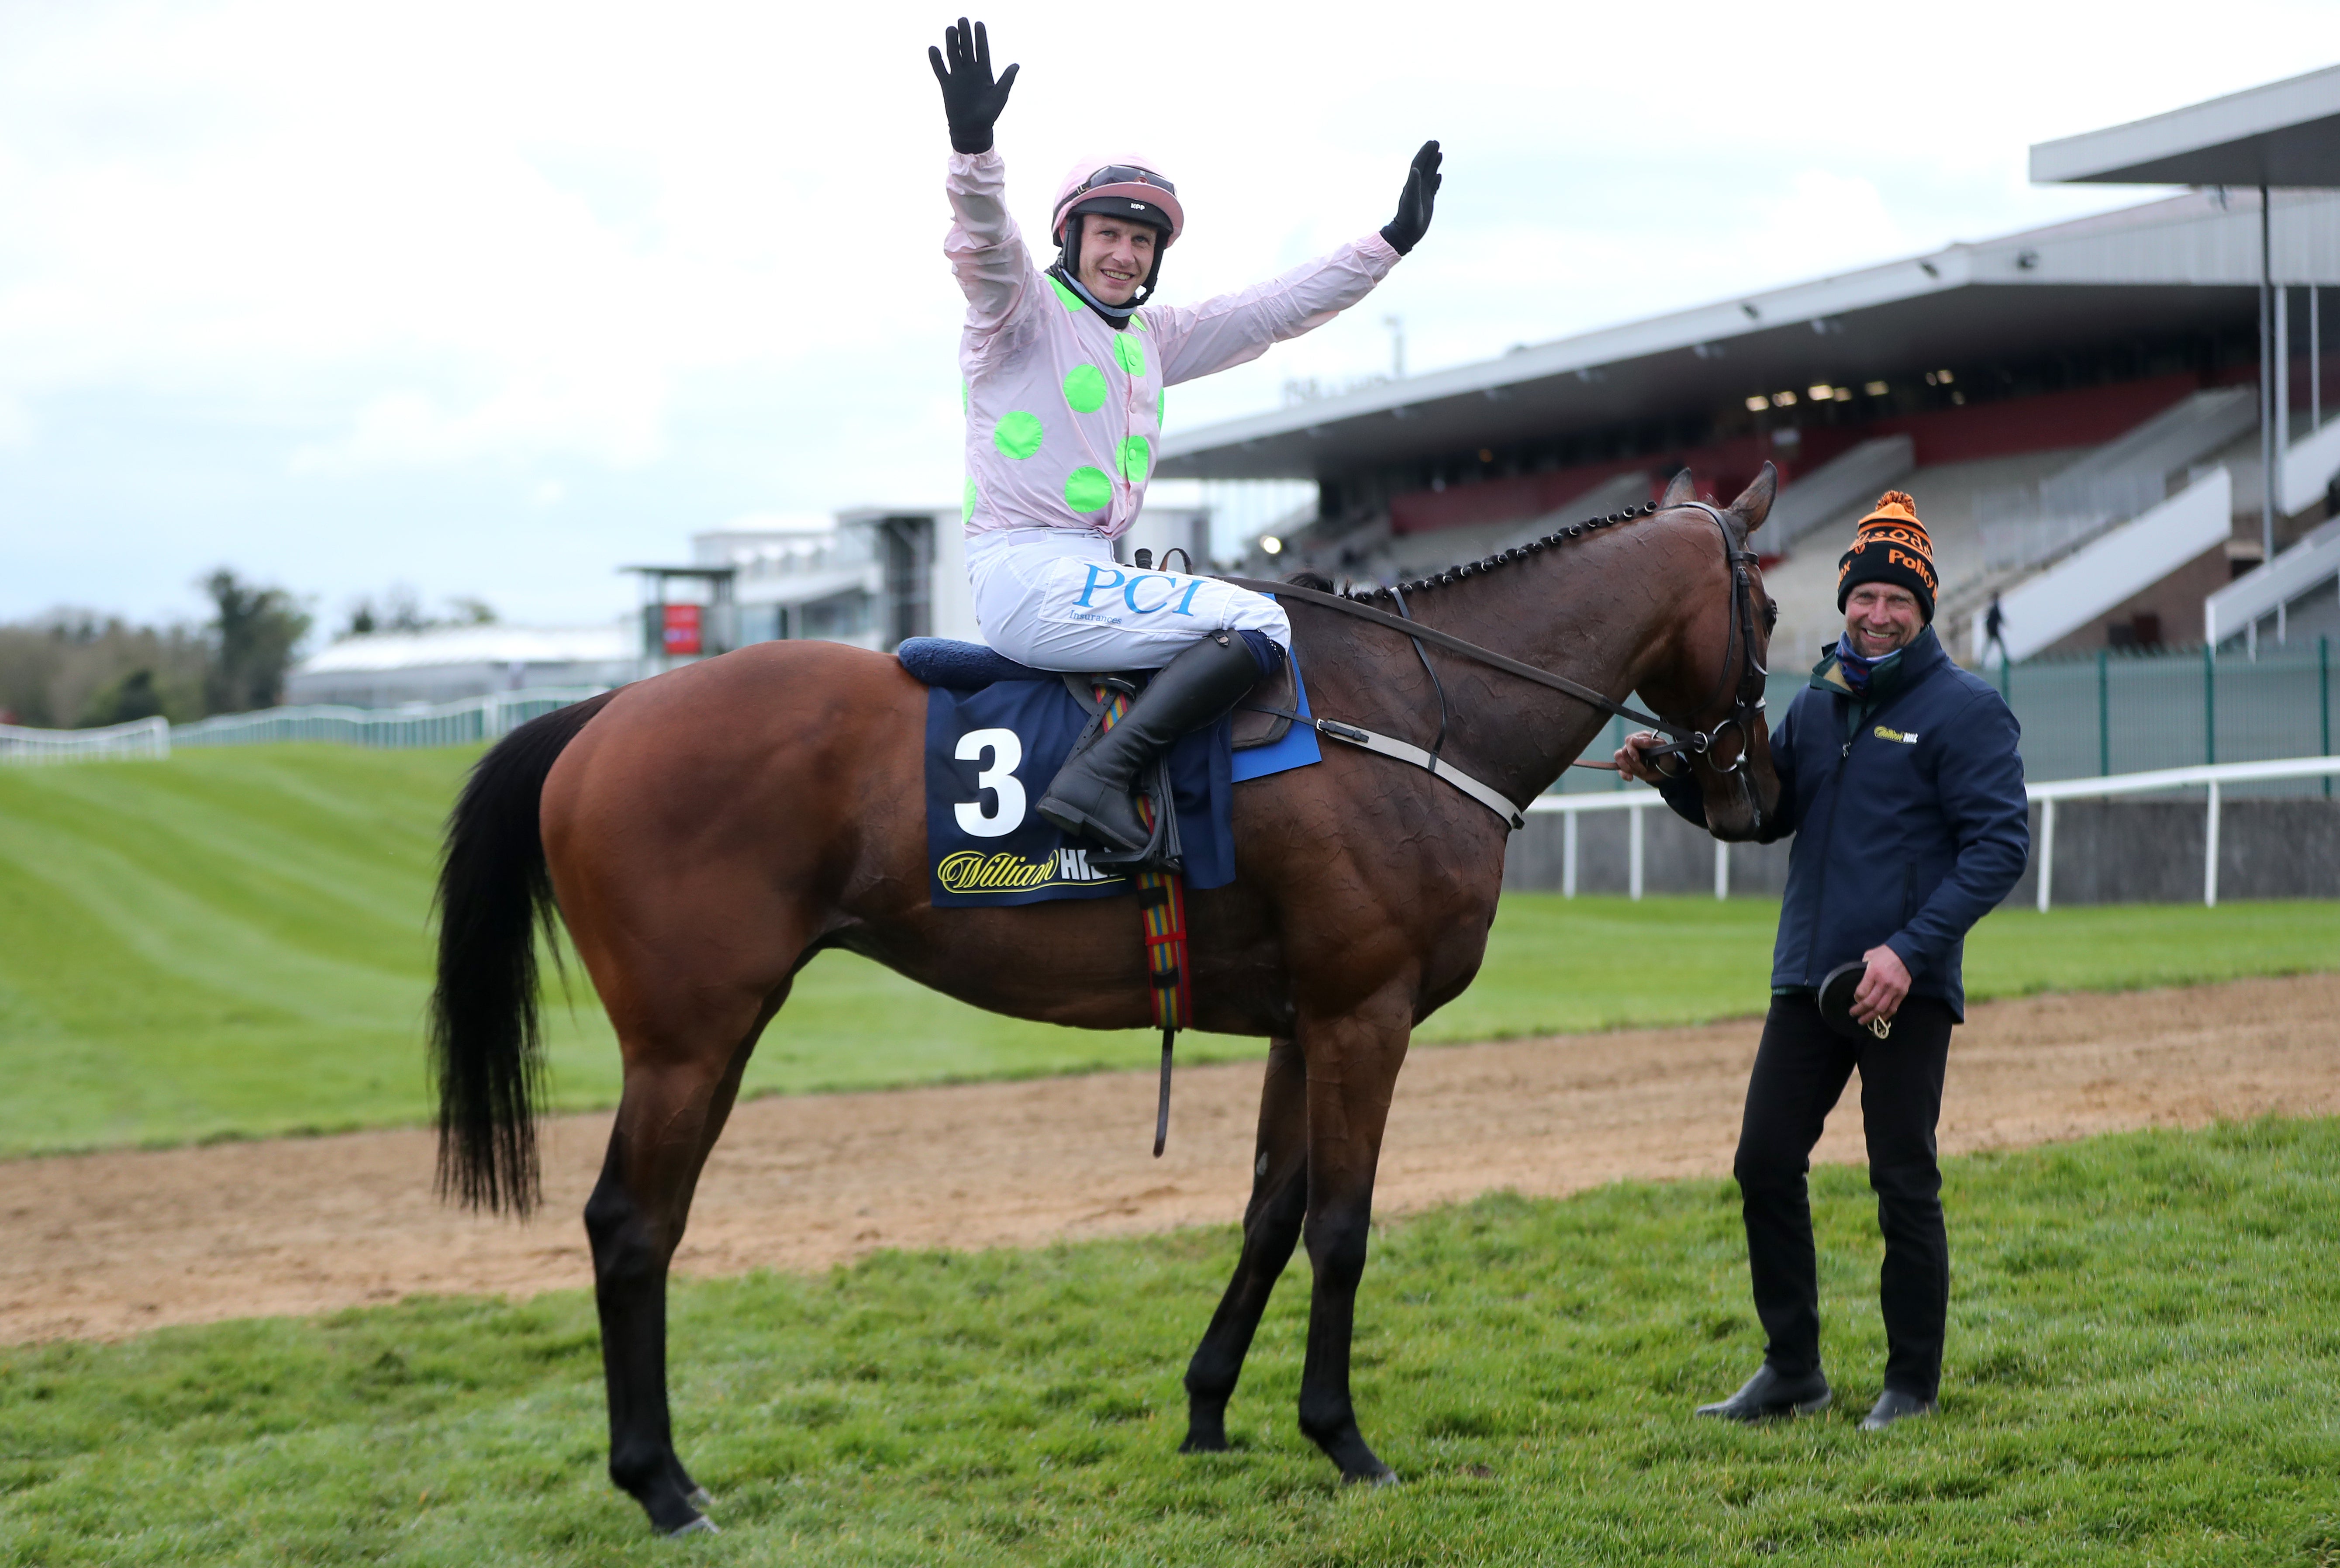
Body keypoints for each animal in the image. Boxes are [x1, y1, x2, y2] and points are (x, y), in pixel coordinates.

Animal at [430, 463, 1778, 1535]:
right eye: (1765, 605)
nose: (1748, 795)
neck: (1407, 708)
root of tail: (610, 707)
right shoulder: (1365, 1010)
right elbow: (1341, 1226)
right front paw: (1343, 1436)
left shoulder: (1304, 1021)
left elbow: (1269, 1216)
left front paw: (1209, 1409)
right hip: (687, 1037)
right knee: (628, 1225)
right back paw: (660, 1485)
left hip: (718, 1033)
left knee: (650, 1226)